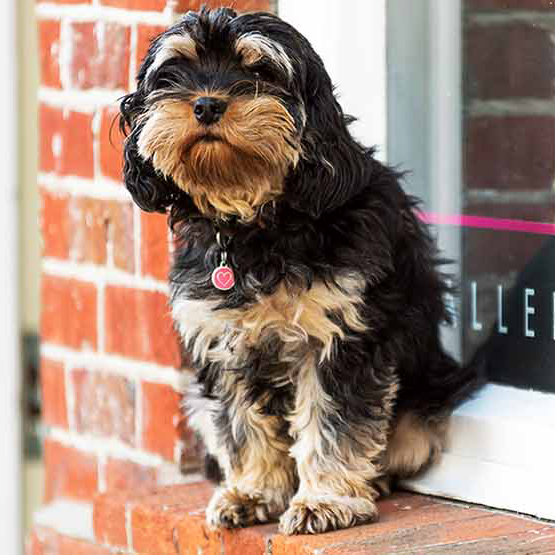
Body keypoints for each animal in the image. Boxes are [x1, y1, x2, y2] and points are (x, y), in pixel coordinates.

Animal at [119, 6, 484, 536]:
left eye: (258, 71)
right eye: (177, 72)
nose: (206, 104)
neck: (258, 223)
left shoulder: (340, 336)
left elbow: (332, 424)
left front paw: (324, 501)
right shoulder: (224, 343)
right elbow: (243, 426)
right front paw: (252, 492)